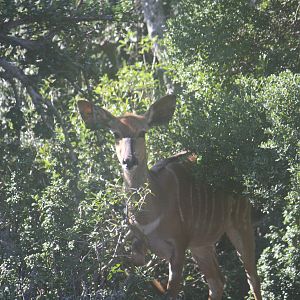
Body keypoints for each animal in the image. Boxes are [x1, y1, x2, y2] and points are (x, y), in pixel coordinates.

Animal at [78, 95, 262, 298]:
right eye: (115, 134)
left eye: (142, 132)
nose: (129, 161)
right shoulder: (145, 243)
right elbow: (136, 262)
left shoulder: (179, 246)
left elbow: (171, 292)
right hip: (201, 244)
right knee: (217, 282)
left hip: (240, 223)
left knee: (252, 278)